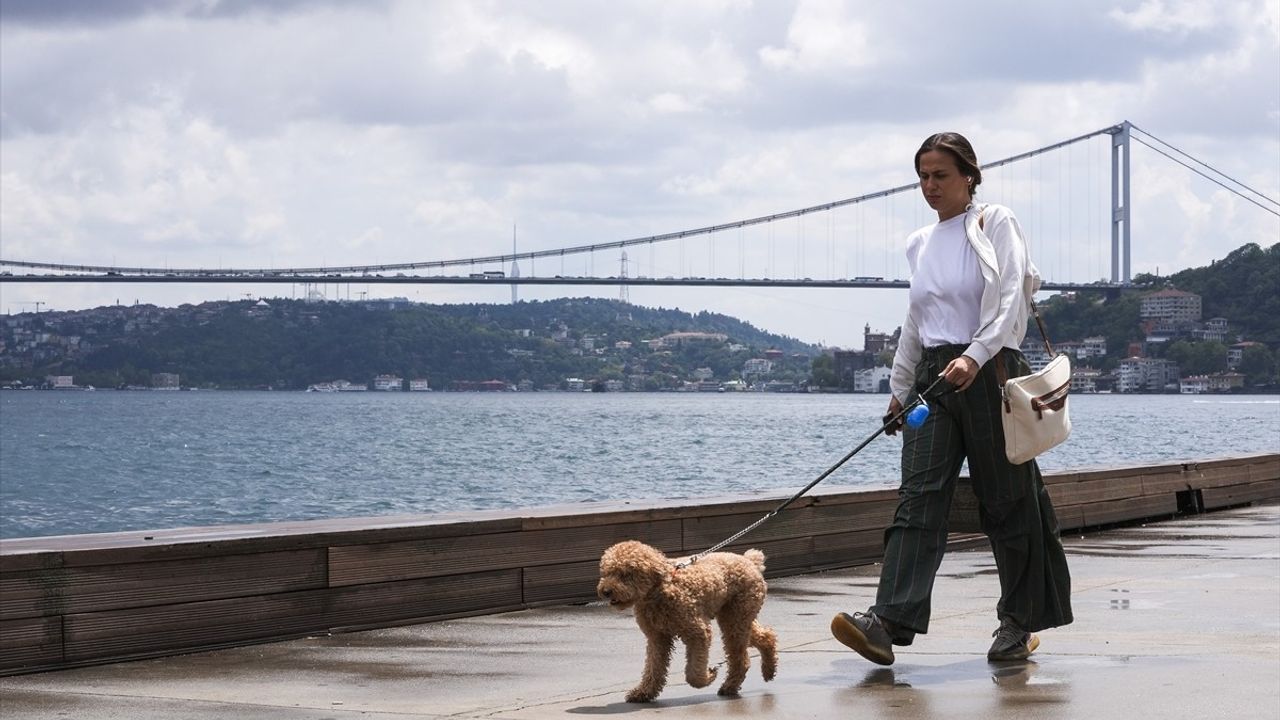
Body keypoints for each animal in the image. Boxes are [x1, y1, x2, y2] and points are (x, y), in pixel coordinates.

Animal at [596, 538, 778, 702]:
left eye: (626, 574)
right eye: (606, 573)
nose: (606, 591)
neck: (659, 591)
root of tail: (750, 561)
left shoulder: (698, 633)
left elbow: (693, 673)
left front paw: (708, 676)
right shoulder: (657, 637)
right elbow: (654, 667)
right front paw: (644, 693)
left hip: (737, 617)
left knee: (741, 658)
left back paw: (731, 685)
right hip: (735, 617)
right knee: (765, 636)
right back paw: (767, 670)